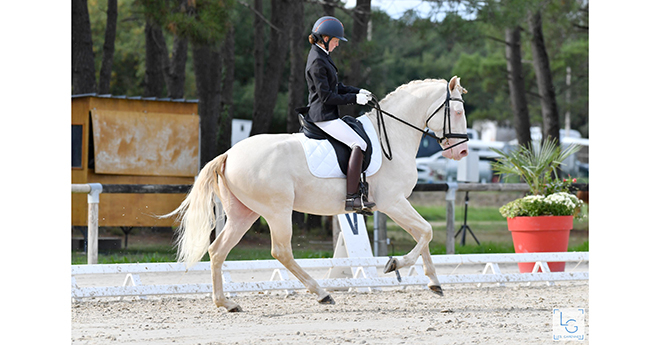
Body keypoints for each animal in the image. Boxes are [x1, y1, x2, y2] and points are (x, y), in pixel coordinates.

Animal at [164, 76, 470, 312]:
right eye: (457, 113)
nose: (463, 152)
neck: (393, 135)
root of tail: (228, 154)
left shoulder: (397, 203)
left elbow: (423, 234)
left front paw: (434, 282)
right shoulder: (393, 202)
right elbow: (427, 231)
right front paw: (395, 264)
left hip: (244, 213)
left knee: (217, 250)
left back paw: (226, 304)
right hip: (277, 210)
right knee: (281, 251)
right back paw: (322, 293)